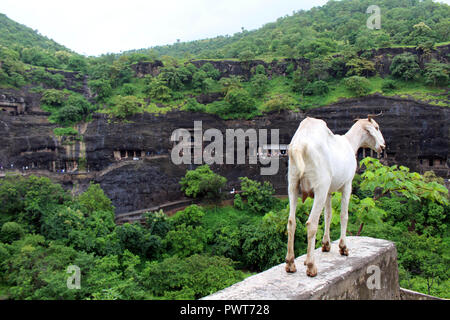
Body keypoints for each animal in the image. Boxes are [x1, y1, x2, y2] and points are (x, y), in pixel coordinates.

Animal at [284, 115, 386, 278]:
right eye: (376, 128)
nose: (383, 146)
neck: (350, 143)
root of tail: (300, 145)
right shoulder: (347, 184)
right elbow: (344, 215)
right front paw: (343, 247)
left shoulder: (329, 192)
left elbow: (328, 215)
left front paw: (325, 245)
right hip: (320, 185)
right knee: (311, 223)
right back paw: (311, 266)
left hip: (293, 184)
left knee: (291, 222)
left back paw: (290, 263)